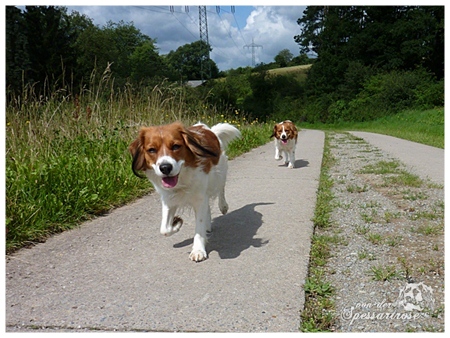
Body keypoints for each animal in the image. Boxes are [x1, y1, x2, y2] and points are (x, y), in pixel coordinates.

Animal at [128, 121, 241, 262]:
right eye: (152, 150)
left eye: (176, 146)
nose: (165, 167)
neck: (182, 179)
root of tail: (206, 127)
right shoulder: (169, 200)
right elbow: (164, 229)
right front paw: (176, 223)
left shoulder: (199, 197)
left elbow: (199, 225)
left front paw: (198, 250)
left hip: (219, 172)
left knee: (221, 188)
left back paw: (223, 206)